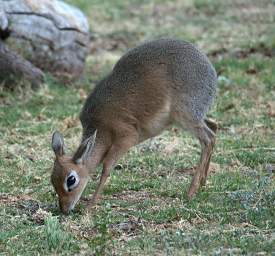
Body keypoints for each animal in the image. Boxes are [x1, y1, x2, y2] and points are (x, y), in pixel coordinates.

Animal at [51, 38, 218, 214]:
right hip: (196, 117)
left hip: (186, 116)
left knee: (208, 138)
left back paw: (191, 192)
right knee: (214, 127)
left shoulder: (126, 138)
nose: (64, 209)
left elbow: (106, 169)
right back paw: (202, 184)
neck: (101, 126)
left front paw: (90, 205)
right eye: (52, 180)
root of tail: (210, 69)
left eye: (71, 180)